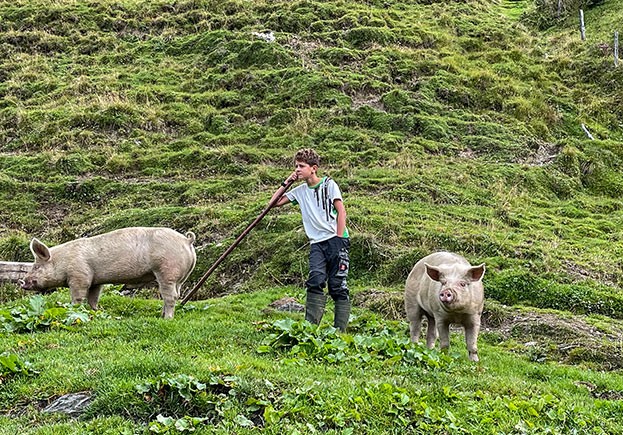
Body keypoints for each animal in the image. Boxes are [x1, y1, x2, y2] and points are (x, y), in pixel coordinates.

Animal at [20, 228, 195, 320]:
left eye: (36, 266)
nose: (22, 282)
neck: (63, 261)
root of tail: (187, 241)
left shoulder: (79, 276)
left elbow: (77, 297)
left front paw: (74, 310)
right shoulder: (95, 281)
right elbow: (93, 298)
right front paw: (94, 311)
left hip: (167, 271)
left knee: (170, 297)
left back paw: (167, 318)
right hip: (179, 278)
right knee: (175, 295)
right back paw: (161, 315)